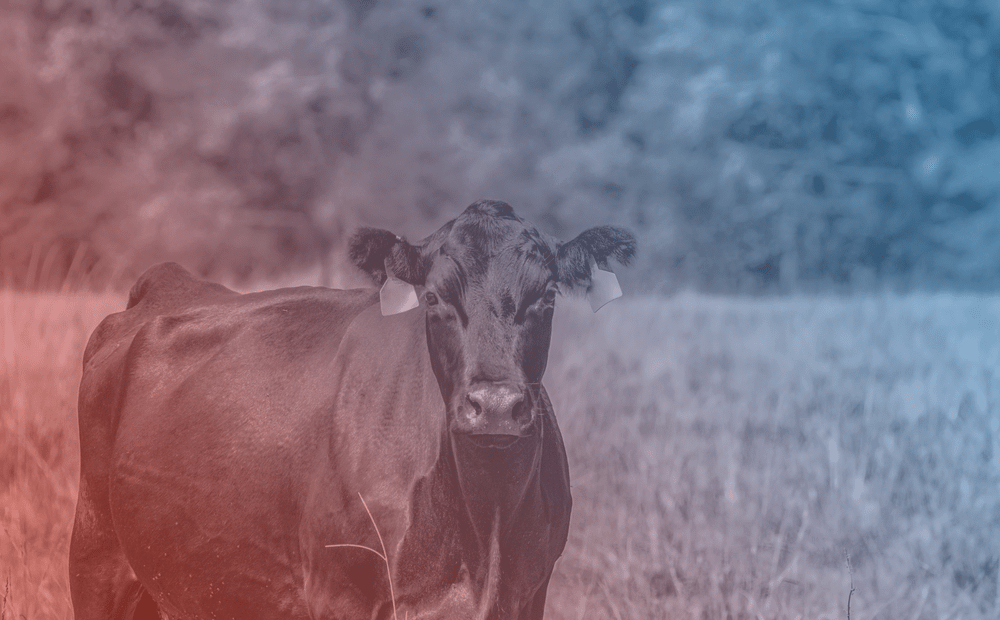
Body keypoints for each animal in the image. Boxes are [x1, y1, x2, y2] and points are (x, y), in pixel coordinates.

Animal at [70, 201, 636, 616]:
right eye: (434, 298)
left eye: (547, 296)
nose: (495, 405)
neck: (483, 528)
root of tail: (169, 280)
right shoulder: (340, 594)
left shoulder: (530, 592)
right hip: (96, 555)